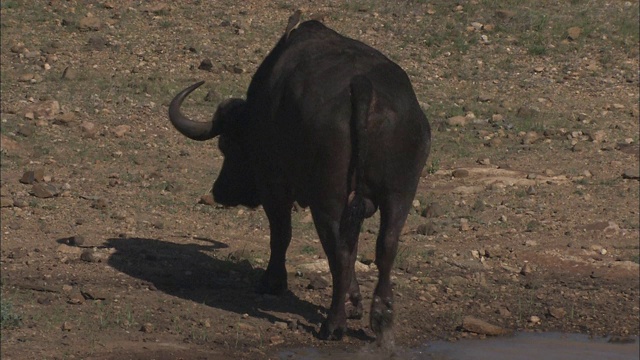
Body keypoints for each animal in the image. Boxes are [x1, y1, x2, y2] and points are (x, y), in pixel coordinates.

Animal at [168, 11, 432, 342]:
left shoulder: (274, 186)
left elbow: (281, 233)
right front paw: (355, 302)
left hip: (328, 201)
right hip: (400, 194)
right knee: (385, 246)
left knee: (339, 252)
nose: (220, 191)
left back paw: (333, 324)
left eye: (226, 144)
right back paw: (381, 318)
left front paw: (272, 282)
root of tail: (363, 87)